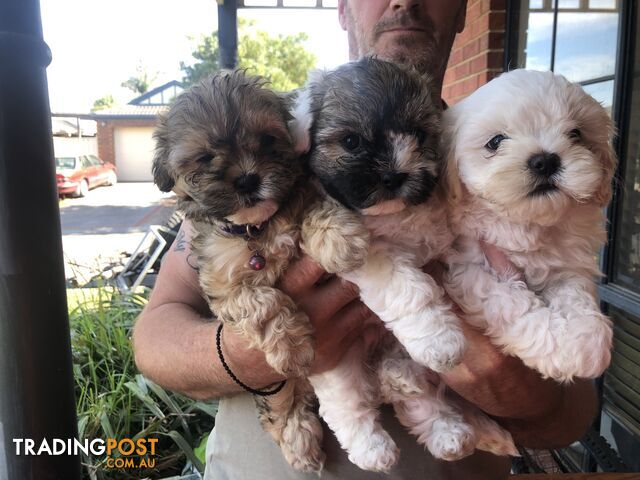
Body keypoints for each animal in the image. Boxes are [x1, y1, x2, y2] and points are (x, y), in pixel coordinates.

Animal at [151, 71, 324, 472]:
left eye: (268, 139)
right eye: (204, 158)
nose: (247, 179)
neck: (254, 230)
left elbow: (313, 207)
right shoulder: (223, 286)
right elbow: (261, 301)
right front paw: (291, 344)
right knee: (281, 399)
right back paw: (297, 434)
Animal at [292, 57, 512, 472]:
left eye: (419, 135)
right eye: (351, 142)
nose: (395, 174)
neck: (398, 215)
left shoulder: (448, 240)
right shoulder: (372, 253)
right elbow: (409, 288)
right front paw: (440, 340)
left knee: (421, 399)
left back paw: (447, 431)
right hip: (339, 363)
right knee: (348, 406)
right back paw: (374, 448)